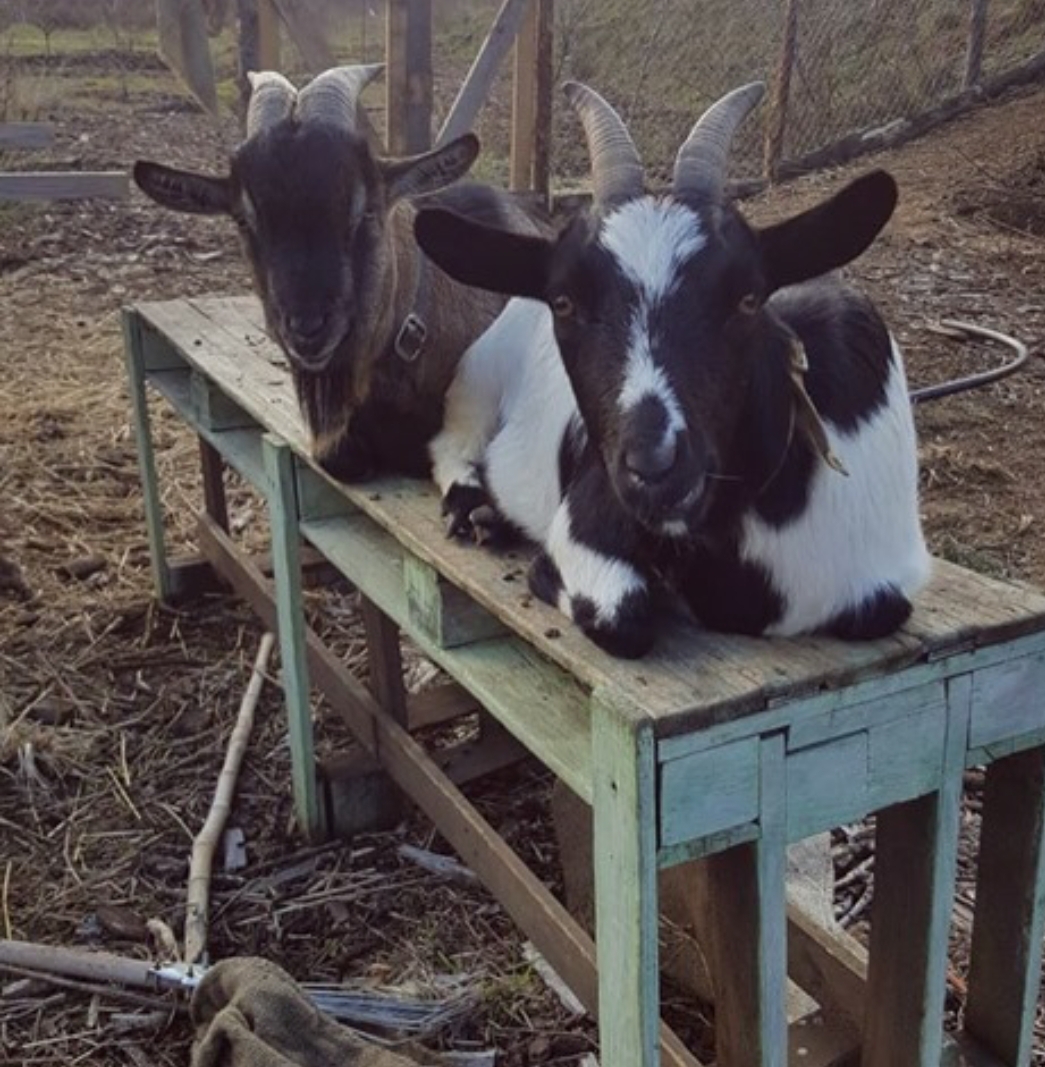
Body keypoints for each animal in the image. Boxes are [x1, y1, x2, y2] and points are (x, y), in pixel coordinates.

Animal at [416, 81, 930, 657]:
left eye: (748, 298)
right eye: (564, 302)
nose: (653, 466)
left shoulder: (888, 576)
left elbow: (882, 610)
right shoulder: (587, 518)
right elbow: (621, 617)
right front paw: (547, 573)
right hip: (477, 378)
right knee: (450, 444)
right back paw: (476, 510)